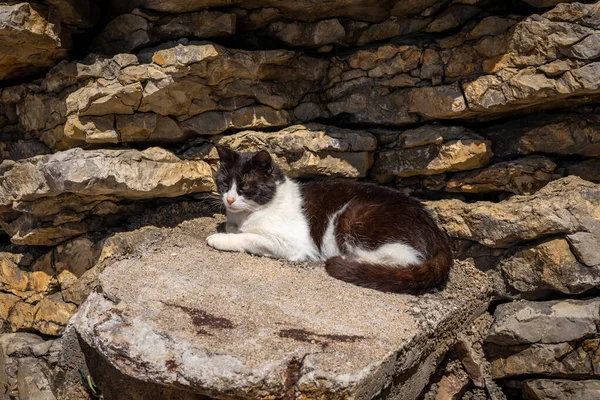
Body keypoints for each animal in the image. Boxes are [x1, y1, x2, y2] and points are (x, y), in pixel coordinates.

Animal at [209, 145, 452, 294]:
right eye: (223, 184)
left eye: (244, 187)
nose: (229, 199)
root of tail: (438, 235)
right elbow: (234, 227)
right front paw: (229, 228)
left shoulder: (292, 243)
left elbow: (248, 237)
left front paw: (220, 238)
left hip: (354, 217)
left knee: (403, 260)